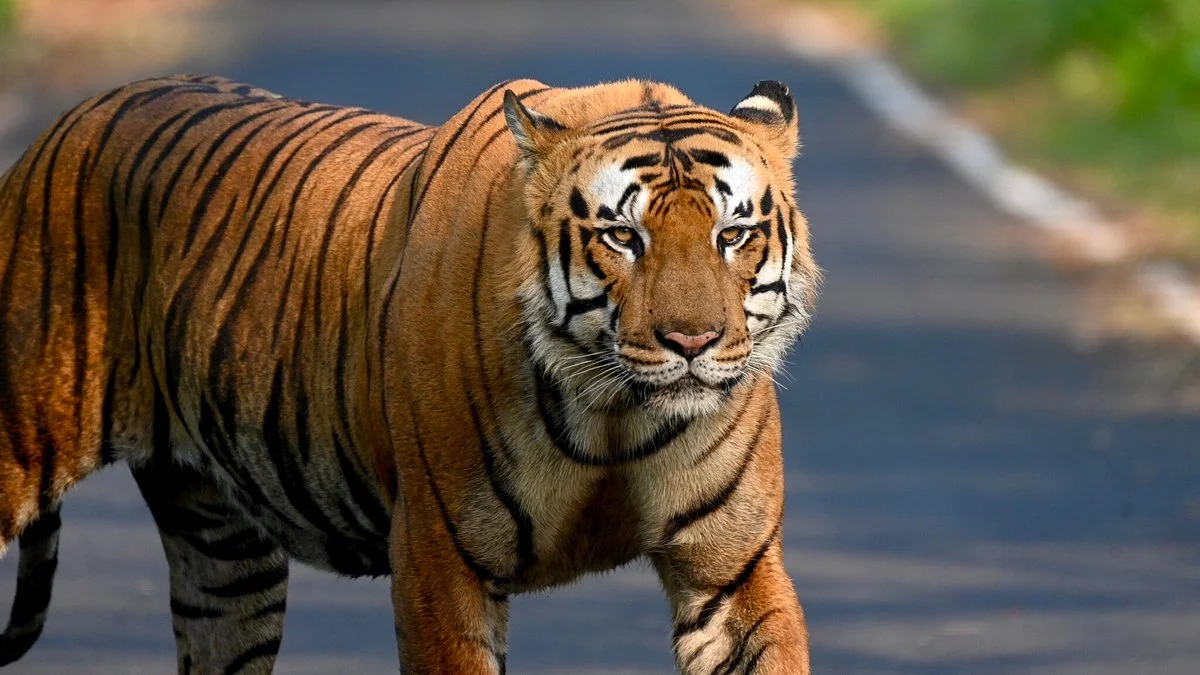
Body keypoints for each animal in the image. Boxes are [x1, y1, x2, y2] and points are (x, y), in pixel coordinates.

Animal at [0, 73, 819, 673]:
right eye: (623, 236)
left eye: (732, 234)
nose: (693, 340)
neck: (614, 416)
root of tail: (67, 119)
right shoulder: (439, 560)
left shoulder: (731, 572)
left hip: (223, 554)